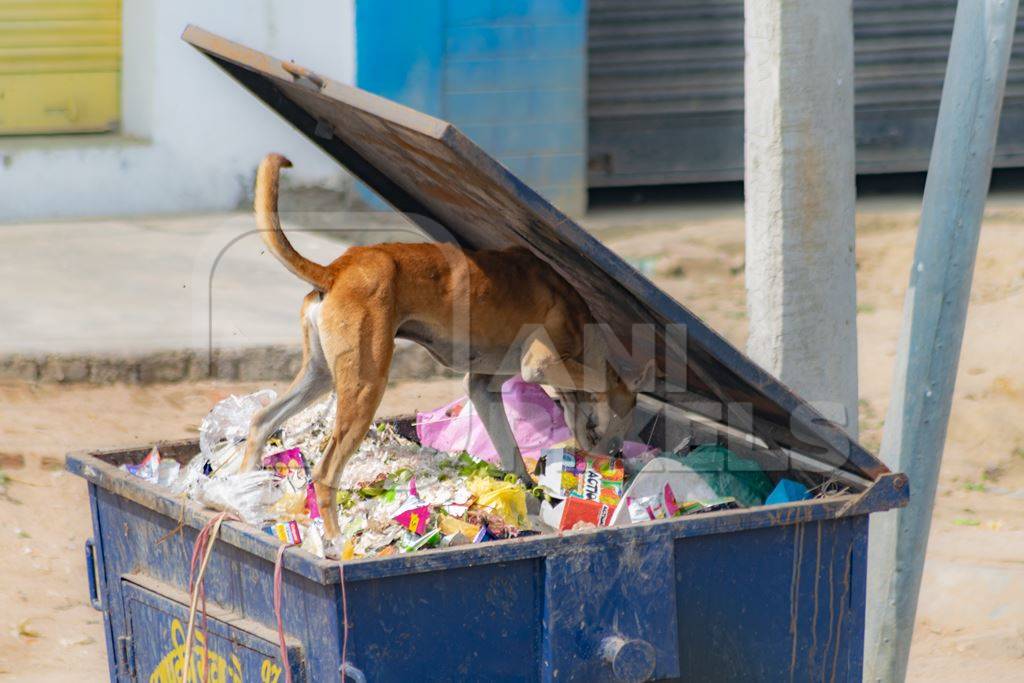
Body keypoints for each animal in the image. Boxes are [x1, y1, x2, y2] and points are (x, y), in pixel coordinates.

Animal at [242, 154, 634, 548]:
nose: (616, 460)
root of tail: (337, 269)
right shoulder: (540, 362)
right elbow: (600, 380)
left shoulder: (483, 387)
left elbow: (510, 449)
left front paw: (526, 495)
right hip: (366, 388)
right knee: (324, 473)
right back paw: (338, 543)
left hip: (321, 375)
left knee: (261, 421)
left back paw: (241, 497)